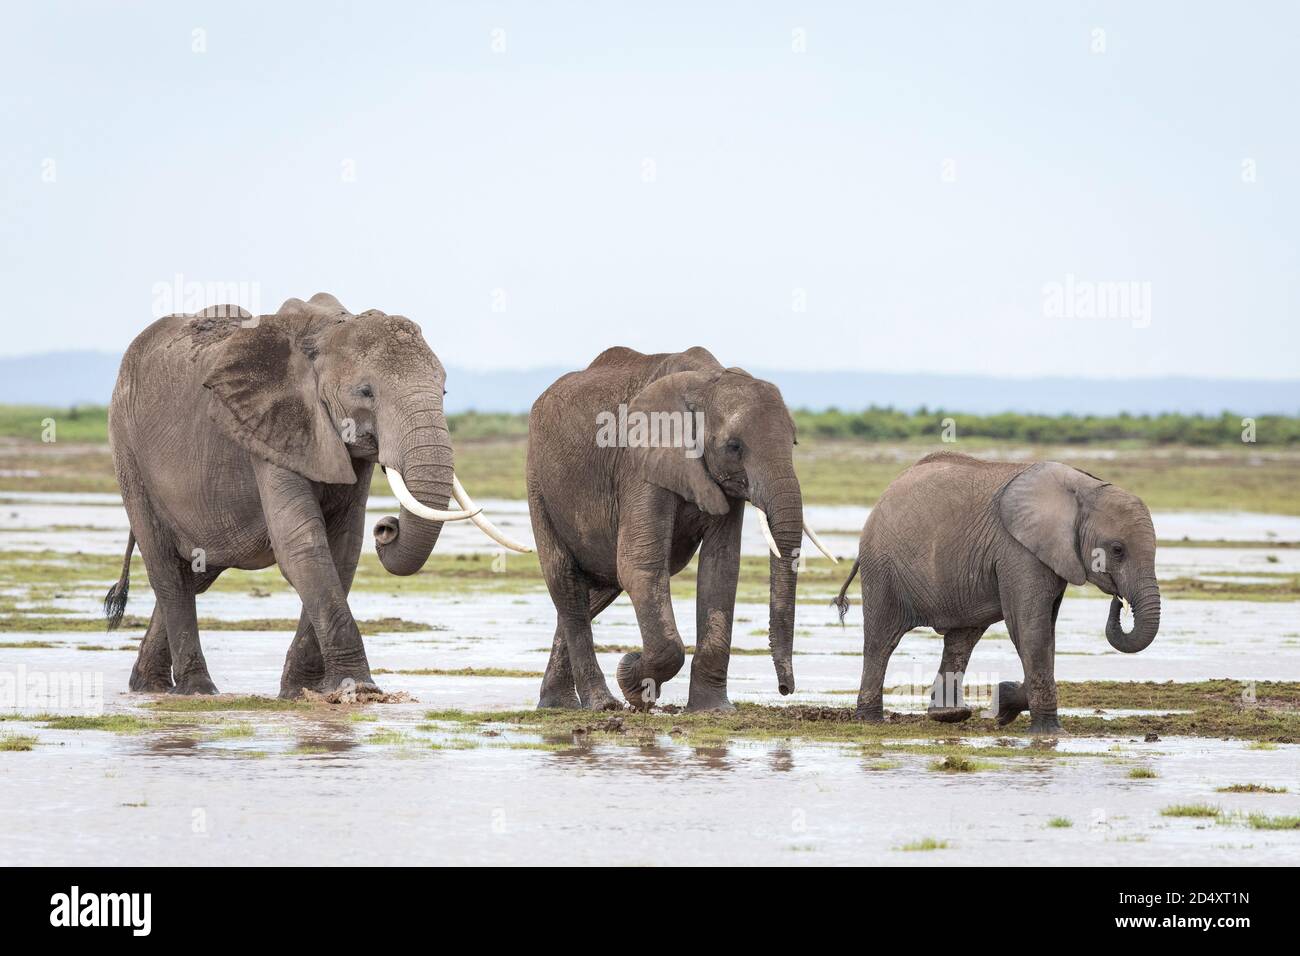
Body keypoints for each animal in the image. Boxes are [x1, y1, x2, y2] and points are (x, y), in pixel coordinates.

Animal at [104, 291, 525, 697]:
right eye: (365, 392)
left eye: (444, 390)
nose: (387, 527)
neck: (327, 333)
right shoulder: (271, 428)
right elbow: (303, 547)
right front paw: (357, 689)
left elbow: (343, 551)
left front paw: (301, 691)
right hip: (127, 451)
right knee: (167, 572)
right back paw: (197, 691)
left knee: (196, 573)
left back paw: (149, 687)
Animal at [527, 345, 832, 712]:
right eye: (734, 446)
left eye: (794, 443)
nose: (785, 688)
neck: (705, 383)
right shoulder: (639, 463)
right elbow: (640, 565)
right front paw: (635, 683)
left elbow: (720, 569)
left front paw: (714, 710)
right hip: (538, 482)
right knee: (566, 581)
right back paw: (601, 704)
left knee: (596, 589)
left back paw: (557, 704)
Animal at [837, 452, 1164, 738]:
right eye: (1117, 549)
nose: (1118, 600)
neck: (1084, 490)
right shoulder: (1017, 551)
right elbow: (1030, 629)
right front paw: (1048, 731)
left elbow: (1045, 634)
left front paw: (1004, 702)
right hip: (882, 567)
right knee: (881, 641)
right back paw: (871, 720)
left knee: (961, 639)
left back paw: (948, 715)